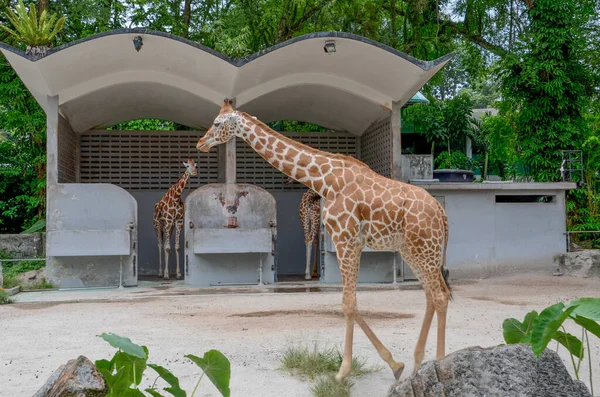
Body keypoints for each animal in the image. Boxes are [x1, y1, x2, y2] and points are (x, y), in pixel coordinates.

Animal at [197, 99, 450, 380]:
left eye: (217, 123)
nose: (201, 143)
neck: (325, 180)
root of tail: (441, 212)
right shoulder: (352, 243)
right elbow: (351, 303)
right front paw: (395, 365)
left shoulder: (344, 239)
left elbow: (348, 304)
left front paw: (342, 373)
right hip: (412, 250)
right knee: (431, 295)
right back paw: (417, 365)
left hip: (425, 249)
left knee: (440, 297)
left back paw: (440, 364)